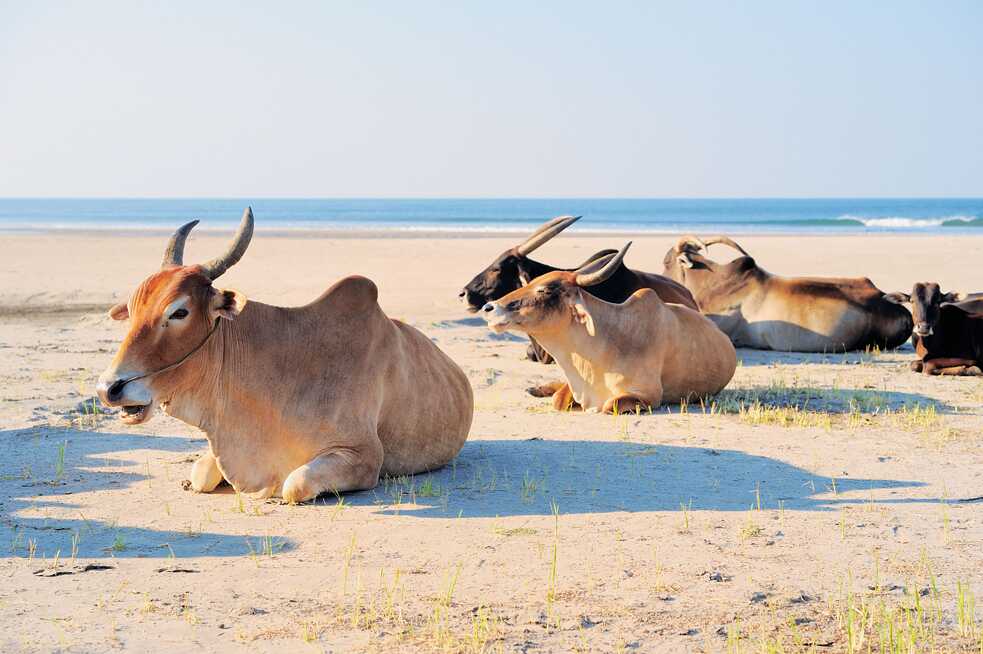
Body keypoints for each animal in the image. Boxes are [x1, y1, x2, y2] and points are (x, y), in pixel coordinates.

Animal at [96, 208, 474, 503]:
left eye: (179, 312)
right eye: (132, 310)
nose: (108, 389)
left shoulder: (363, 455)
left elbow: (295, 484)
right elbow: (201, 474)